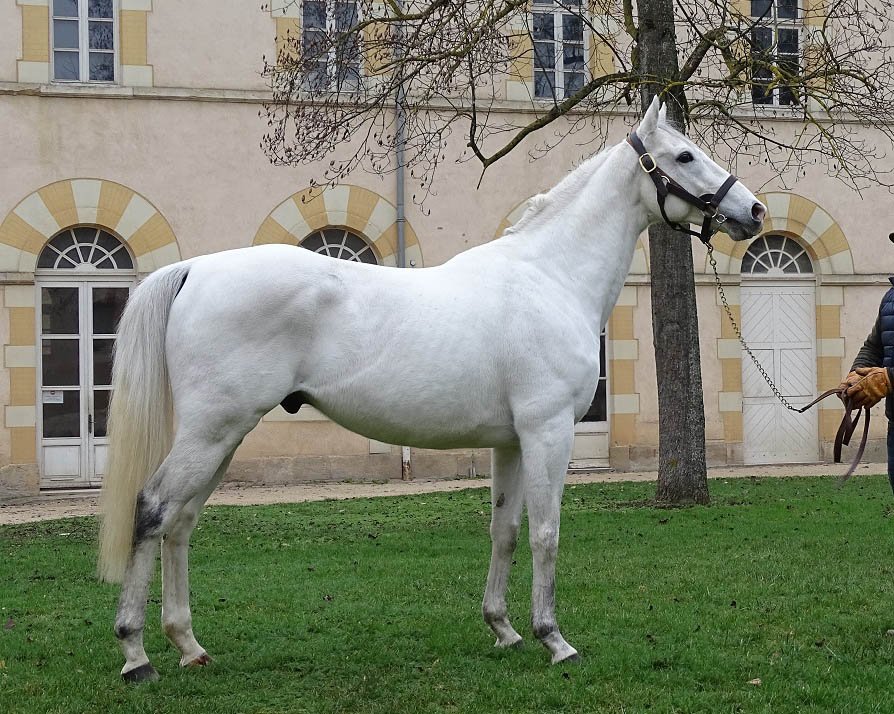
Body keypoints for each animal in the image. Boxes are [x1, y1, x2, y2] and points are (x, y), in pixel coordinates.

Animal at [97, 98, 766, 682]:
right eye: (683, 155)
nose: (755, 212)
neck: (549, 277)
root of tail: (195, 269)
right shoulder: (547, 431)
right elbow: (546, 532)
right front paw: (554, 639)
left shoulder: (511, 442)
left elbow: (505, 530)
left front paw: (503, 629)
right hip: (214, 430)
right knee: (152, 509)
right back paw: (135, 655)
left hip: (225, 435)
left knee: (180, 521)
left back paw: (189, 647)